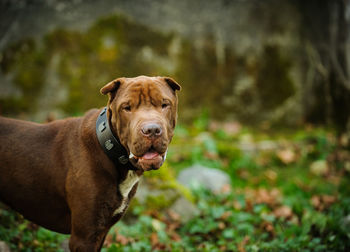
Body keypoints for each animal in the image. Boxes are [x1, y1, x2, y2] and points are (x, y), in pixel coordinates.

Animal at [0, 76, 180, 252]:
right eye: (126, 108)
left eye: (164, 104)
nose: (151, 130)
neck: (109, 148)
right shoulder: (84, 237)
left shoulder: (101, 231)